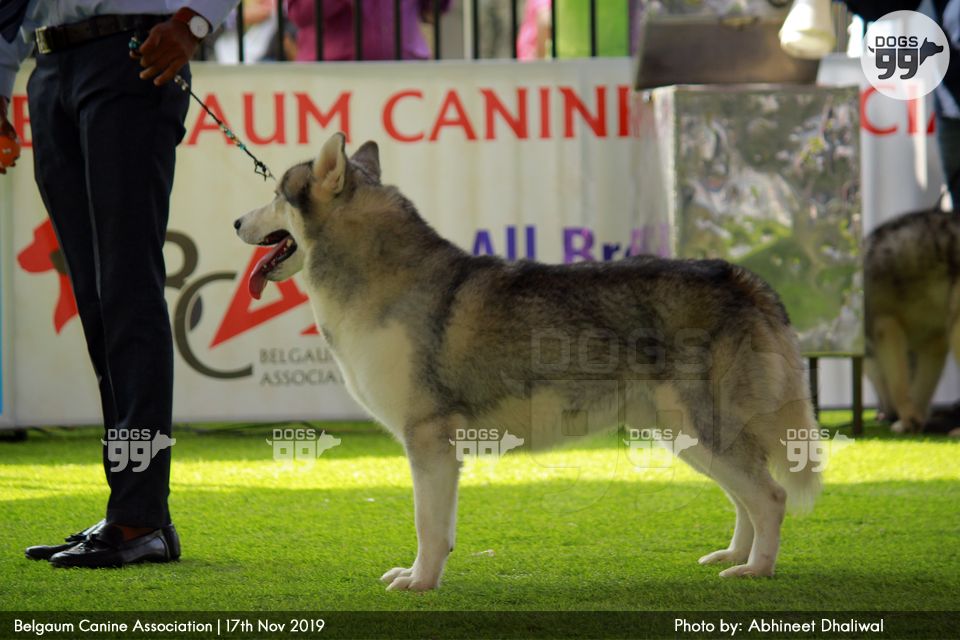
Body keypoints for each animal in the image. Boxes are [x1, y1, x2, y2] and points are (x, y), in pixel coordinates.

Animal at [234, 133, 823, 590]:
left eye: (275, 195)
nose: (237, 221)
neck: (379, 280)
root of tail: (742, 278)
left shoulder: (428, 440)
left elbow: (428, 526)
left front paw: (421, 582)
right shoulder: (440, 450)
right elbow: (440, 529)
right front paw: (426, 574)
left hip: (701, 429)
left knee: (770, 496)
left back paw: (755, 570)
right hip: (685, 435)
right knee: (746, 497)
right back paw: (736, 554)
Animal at [864, 208, 960, 434]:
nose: (884, 415)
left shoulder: (885, 325)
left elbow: (899, 385)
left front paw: (907, 418)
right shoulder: (934, 343)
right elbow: (920, 389)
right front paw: (913, 420)